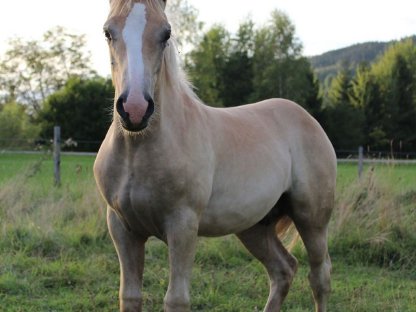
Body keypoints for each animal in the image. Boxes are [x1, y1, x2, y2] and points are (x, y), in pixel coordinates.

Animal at [94, 1, 338, 310]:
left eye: (166, 33)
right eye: (108, 32)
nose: (135, 109)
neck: (137, 153)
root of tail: (308, 118)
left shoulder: (183, 226)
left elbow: (176, 299)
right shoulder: (122, 228)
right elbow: (129, 295)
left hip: (312, 218)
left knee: (320, 277)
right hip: (255, 226)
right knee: (284, 269)